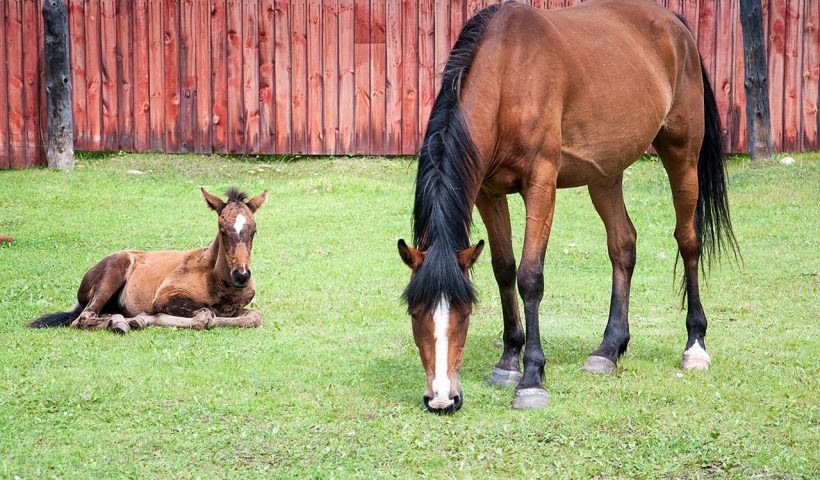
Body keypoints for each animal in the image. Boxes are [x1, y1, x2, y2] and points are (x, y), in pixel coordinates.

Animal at [28, 188, 270, 334]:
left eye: (254, 230)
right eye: (222, 229)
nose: (241, 275)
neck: (216, 279)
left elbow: (253, 317)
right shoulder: (164, 297)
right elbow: (204, 315)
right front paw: (142, 319)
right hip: (111, 274)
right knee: (83, 318)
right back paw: (120, 323)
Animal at [396, 0, 736, 412]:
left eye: (463, 314)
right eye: (415, 313)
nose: (442, 399)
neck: (508, 73)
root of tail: (677, 26)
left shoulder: (541, 185)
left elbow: (530, 277)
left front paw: (531, 378)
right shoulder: (488, 193)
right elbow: (504, 269)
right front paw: (508, 360)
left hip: (682, 155)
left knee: (688, 240)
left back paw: (695, 346)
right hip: (605, 174)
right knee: (623, 245)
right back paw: (608, 349)